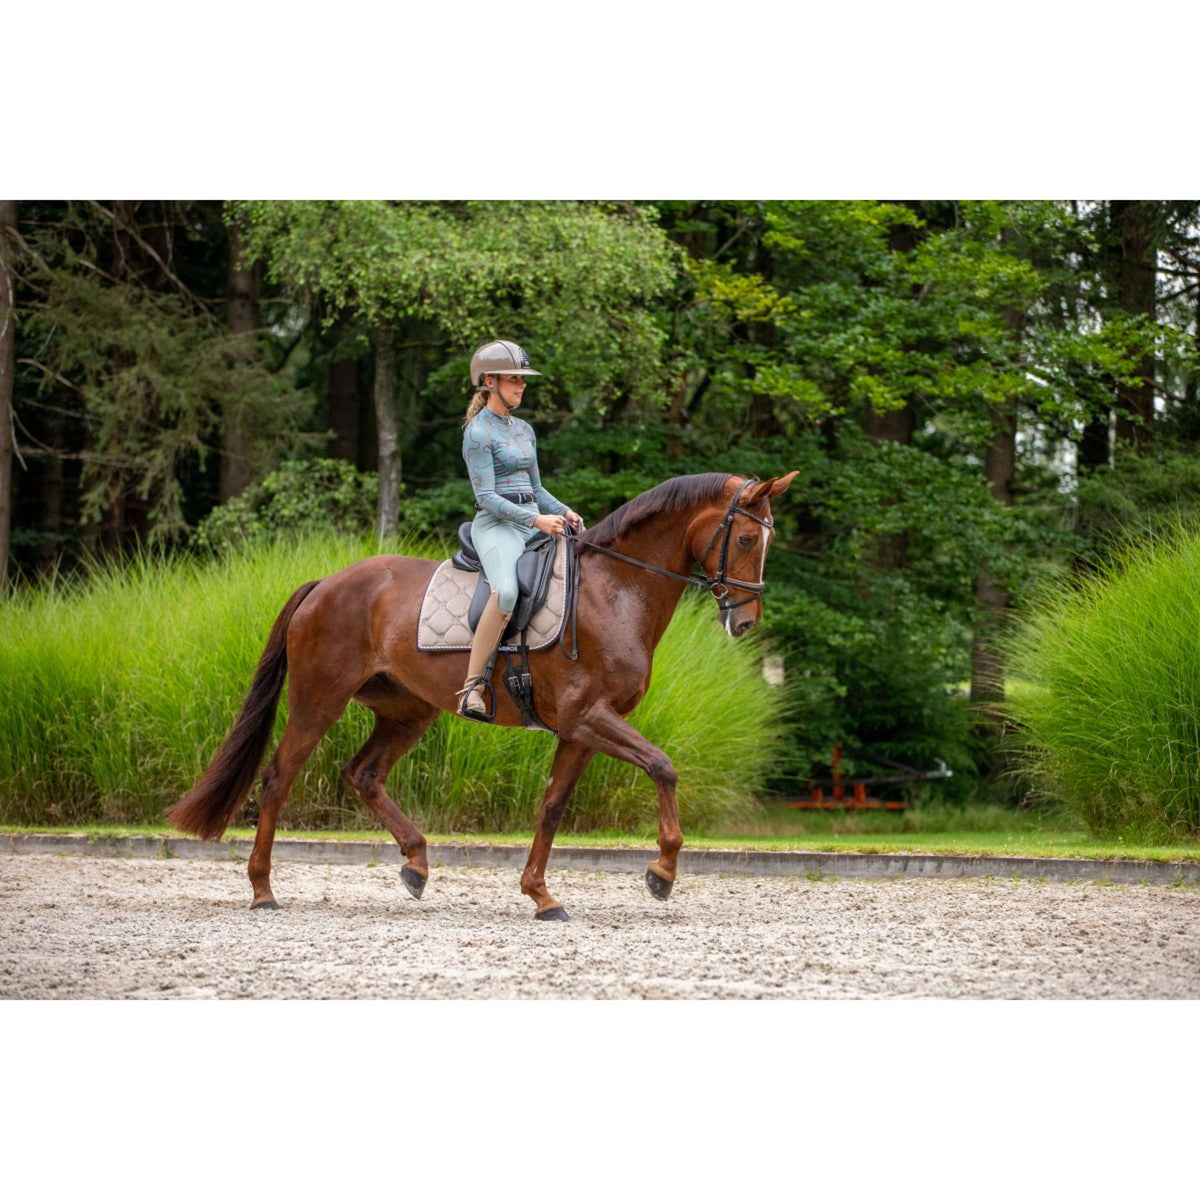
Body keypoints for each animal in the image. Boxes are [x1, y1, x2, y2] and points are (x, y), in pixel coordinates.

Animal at [162, 468, 796, 916]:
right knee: (278, 778)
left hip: (407, 711)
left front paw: (541, 895)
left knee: (363, 773)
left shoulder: (582, 729)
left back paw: (416, 864)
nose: (745, 622)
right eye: (745, 538)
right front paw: (661, 872)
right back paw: (263, 890)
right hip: (319, 701)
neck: (614, 590)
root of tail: (326, 584)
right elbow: (664, 767)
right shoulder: (589, 718)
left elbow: (552, 806)